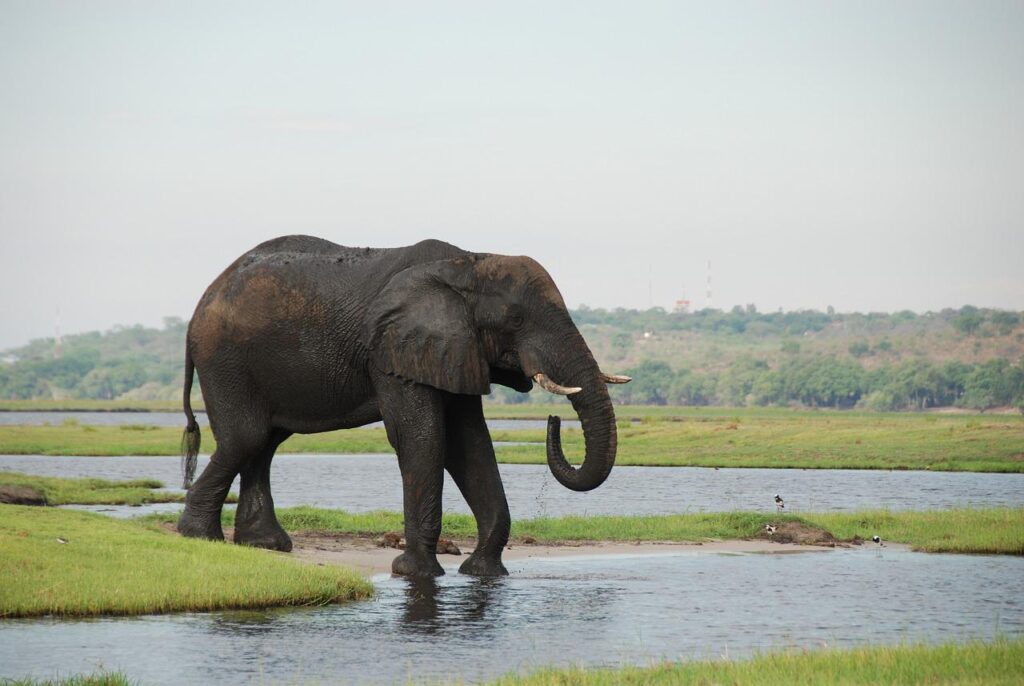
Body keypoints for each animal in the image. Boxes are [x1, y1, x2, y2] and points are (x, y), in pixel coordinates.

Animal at [177, 235, 626, 573]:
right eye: (515, 320)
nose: (553, 419)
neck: (468, 262)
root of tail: (201, 302)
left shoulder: (455, 349)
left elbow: (469, 444)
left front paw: (483, 572)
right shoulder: (393, 350)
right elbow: (422, 438)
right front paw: (414, 572)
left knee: (265, 442)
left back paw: (264, 544)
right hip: (225, 360)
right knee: (247, 438)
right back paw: (199, 537)